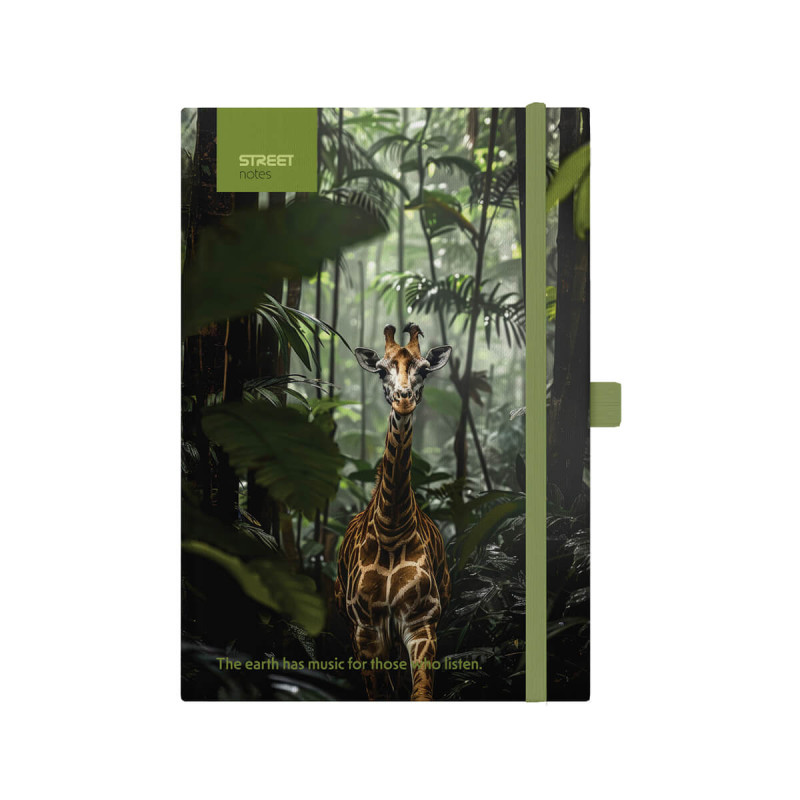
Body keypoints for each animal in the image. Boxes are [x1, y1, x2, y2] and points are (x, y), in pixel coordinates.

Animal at [335, 322, 452, 701]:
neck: (391, 526)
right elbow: (379, 694)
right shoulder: (366, 628)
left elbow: (420, 694)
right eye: (382, 370)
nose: (403, 399)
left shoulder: (421, 621)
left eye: (424, 370)